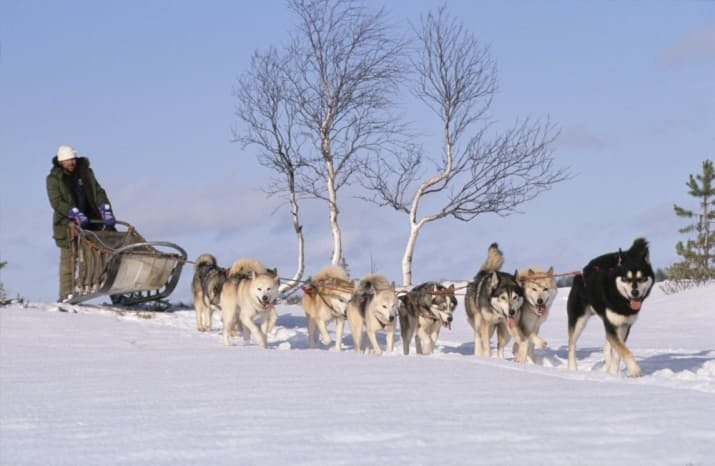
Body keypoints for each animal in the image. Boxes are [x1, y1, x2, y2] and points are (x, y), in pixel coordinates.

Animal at [572, 238, 656, 376]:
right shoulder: (612, 326)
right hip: (579, 320)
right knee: (571, 344)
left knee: (607, 347)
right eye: (626, 278)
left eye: (642, 278)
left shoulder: (624, 326)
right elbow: (624, 350)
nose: (635, 292)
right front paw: (635, 370)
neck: (621, 301)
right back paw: (572, 368)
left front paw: (613, 373)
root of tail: (583, 270)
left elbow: (619, 351)